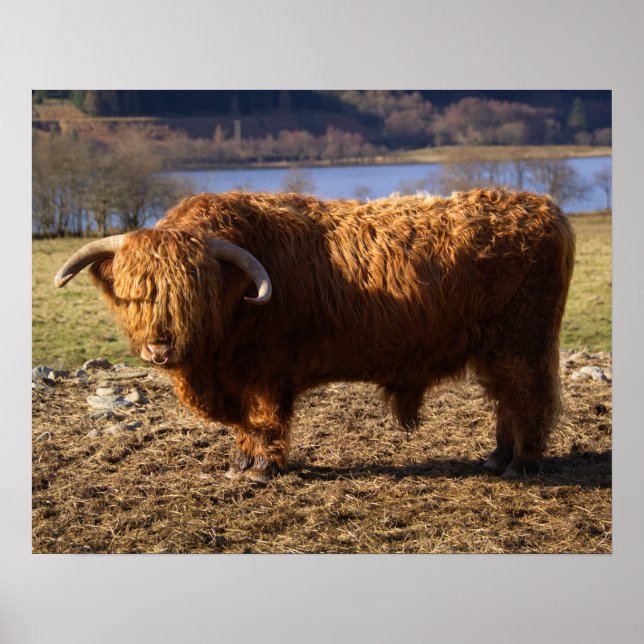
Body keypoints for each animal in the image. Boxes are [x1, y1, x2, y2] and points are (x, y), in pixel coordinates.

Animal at [55, 188, 575, 481]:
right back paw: (496, 457)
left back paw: (522, 464)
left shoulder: (267, 372)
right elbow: (244, 425)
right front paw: (241, 463)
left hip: (523, 341)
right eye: (135, 293)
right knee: (506, 399)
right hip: (495, 347)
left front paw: (263, 469)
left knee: (529, 397)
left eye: (194, 292)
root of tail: (545, 207)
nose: (160, 347)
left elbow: (264, 419)